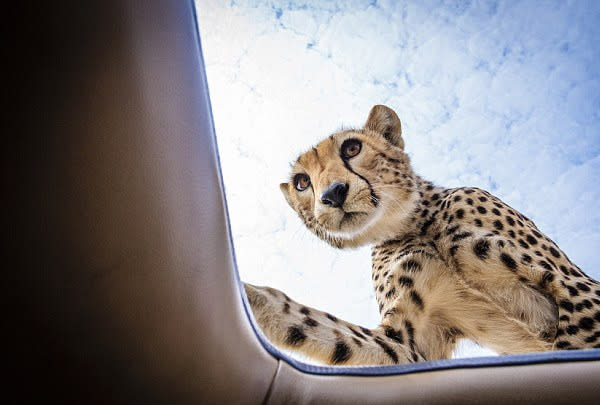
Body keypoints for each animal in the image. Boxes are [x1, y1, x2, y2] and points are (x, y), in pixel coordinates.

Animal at [244, 105, 600, 366]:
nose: (333, 194)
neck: (413, 226)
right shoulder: (405, 342)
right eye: (302, 182)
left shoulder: (573, 286)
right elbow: (312, 323)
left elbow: (574, 338)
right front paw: (249, 296)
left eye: (352, 147)